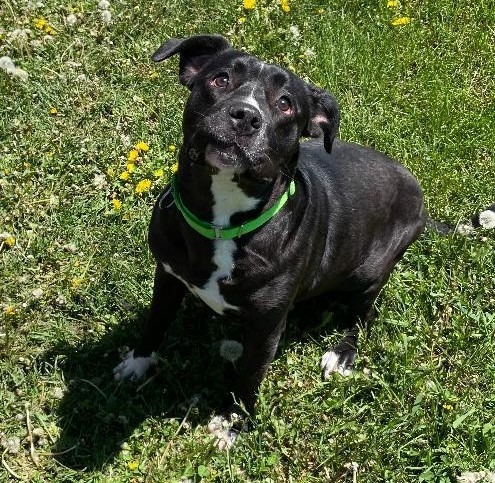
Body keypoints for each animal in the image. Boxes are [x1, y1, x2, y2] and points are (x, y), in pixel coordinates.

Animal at [113, 34, 495, 450]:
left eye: (285, 104)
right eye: (220, 79)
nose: (245, 116)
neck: (222, 222)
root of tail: (423, 204)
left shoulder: (265, 328)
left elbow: (248, 380)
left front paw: (232, 424)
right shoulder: (167, 275)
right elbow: (155, 321)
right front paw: (137, 362)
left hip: (370, 273)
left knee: (363, 316)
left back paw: (342, 354)